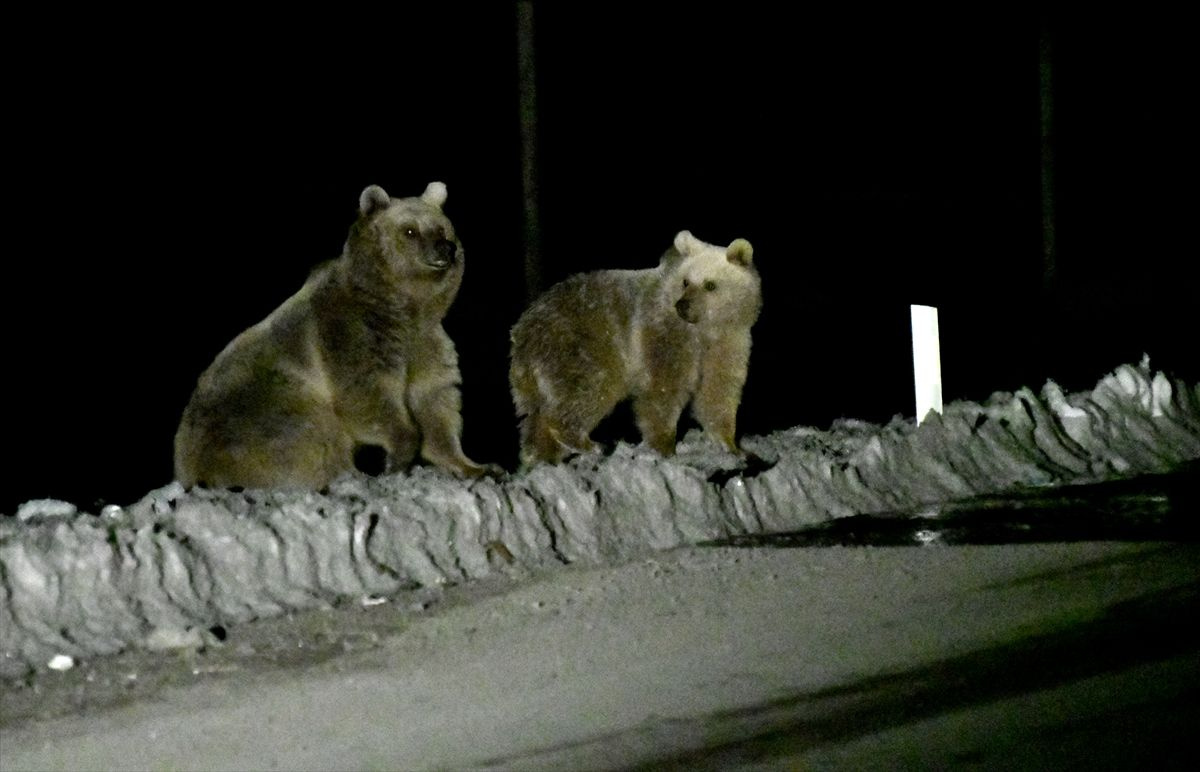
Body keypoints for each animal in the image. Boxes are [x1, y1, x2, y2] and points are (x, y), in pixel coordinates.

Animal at [175, 181, 496, 489]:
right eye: (409, 230)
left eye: (441, 228)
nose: (445, 248)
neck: (404, 307)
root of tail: (185, 467)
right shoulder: (349, 334)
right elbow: (367, 394)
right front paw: (400, 452)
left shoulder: (426, 342)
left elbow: (435, 401)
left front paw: (476, 466)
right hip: (265, 408)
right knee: (313, 435)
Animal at [506, 226, 758, 468]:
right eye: (686, 281)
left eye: (710, 284)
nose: (682, 306)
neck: (705, 329)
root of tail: (521, 332)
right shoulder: (664, 334)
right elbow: (663, 390)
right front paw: (664, 445)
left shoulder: (730, 341)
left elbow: (718, 392)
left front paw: (730, 444)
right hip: (578, 345)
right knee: (591, 387)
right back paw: (583, 441)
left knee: (538, 415)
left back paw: (542, 455)